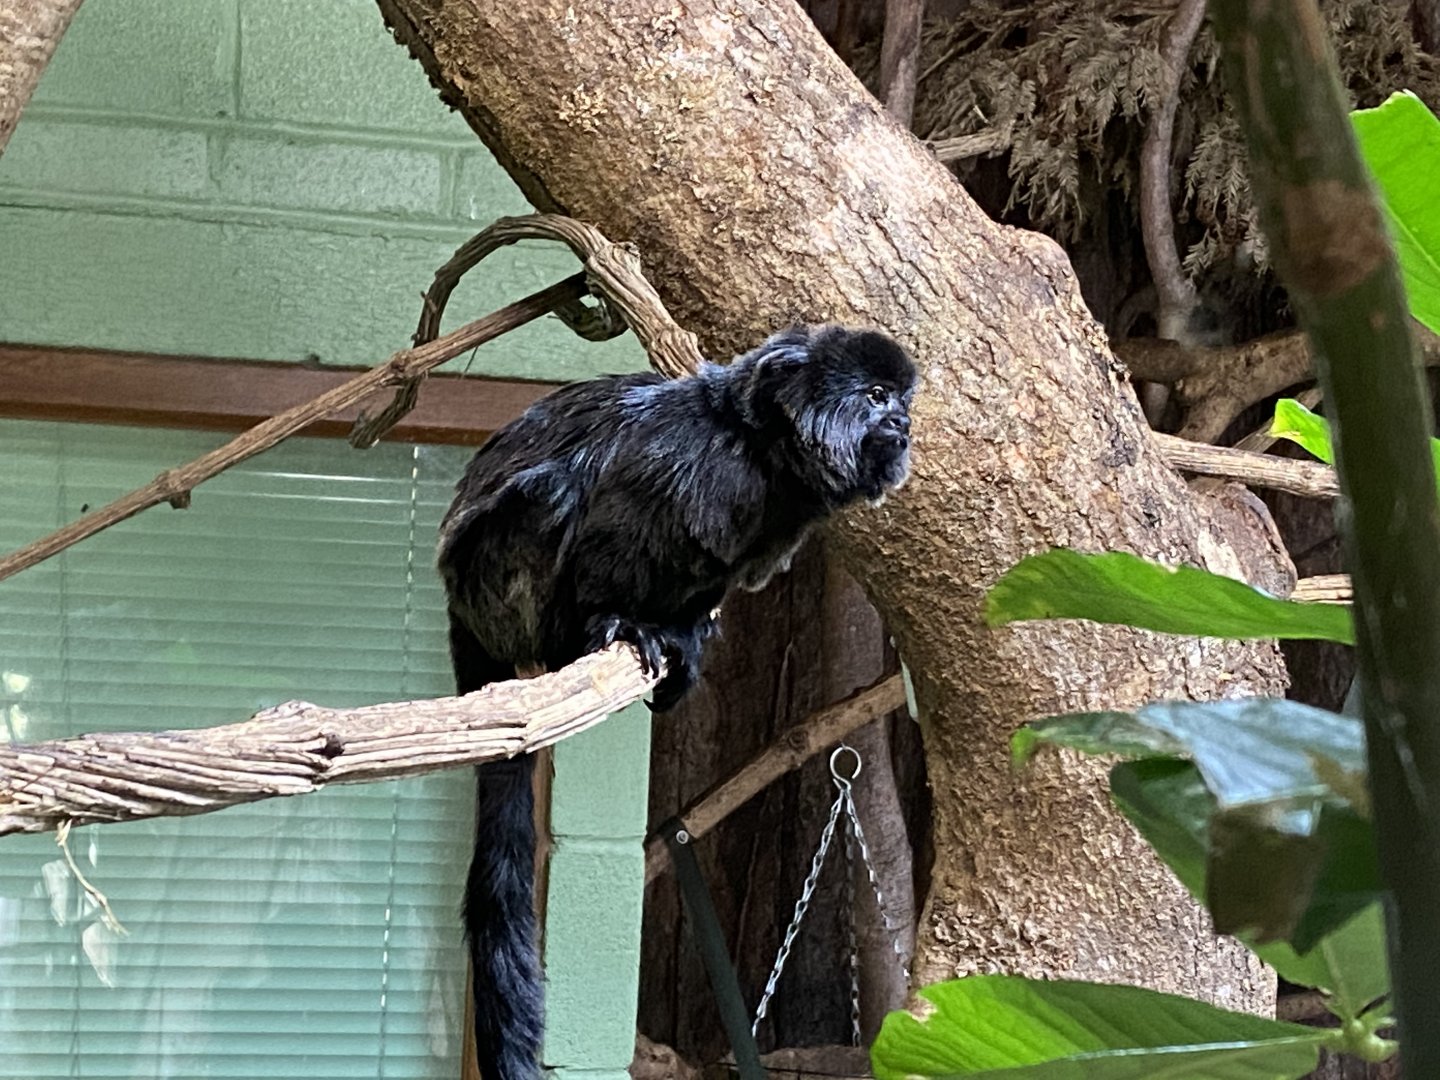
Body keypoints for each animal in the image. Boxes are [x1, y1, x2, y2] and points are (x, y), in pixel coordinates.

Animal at [436, 324, 917, 1080]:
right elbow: (609, 530)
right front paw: (618, 624)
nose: (902, 422)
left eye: (900, 398)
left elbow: (711, 580)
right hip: (497, 577)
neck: (760, 459)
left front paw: (688, 635)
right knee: (554, 494)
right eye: (874, 397)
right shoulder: (679, 464)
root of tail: (462, 608)